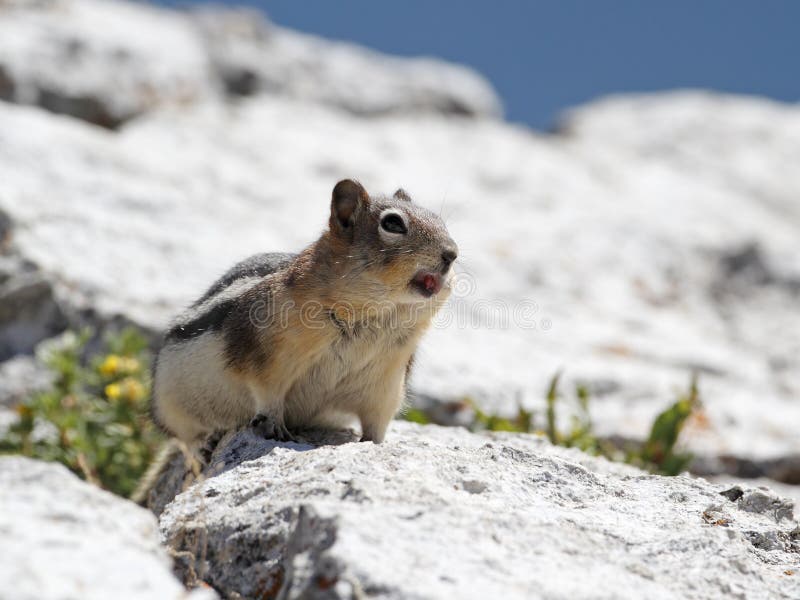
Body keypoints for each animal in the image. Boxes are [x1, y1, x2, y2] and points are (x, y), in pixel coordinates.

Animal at [151, 178, 460, 446]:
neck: (375, 316)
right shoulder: (268, 359)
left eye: (439, 220)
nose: (452, 253)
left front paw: (375, 444)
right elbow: (268, 395)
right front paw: (276, 427)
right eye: (393, 223)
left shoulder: (386, 384)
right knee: (186, 440)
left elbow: (377, 422)